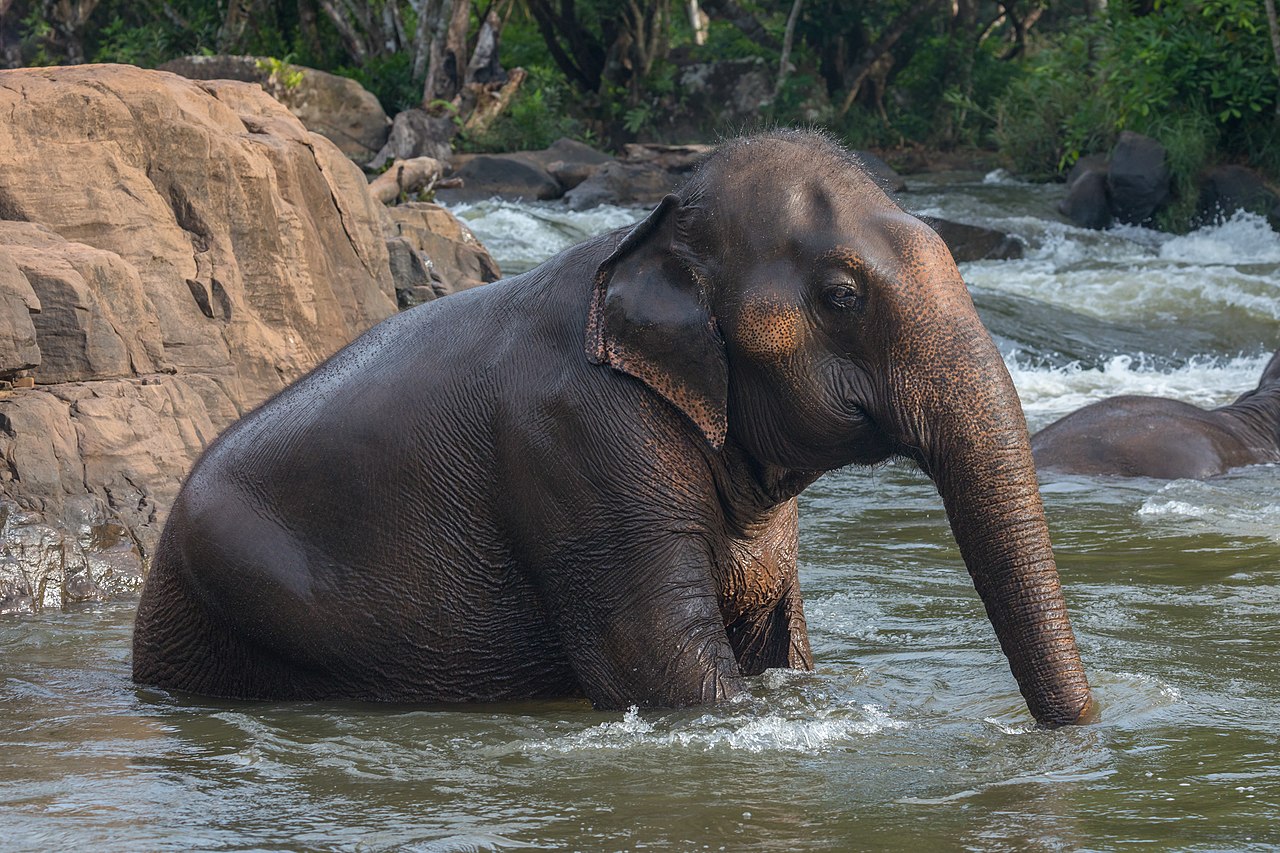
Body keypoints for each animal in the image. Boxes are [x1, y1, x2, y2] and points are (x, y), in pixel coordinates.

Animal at [127, 131, 1090, 722]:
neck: (647, 232)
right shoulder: (577, 443)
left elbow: (781, 645)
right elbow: (669, 669)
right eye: (842, 296)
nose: (1075, 729)